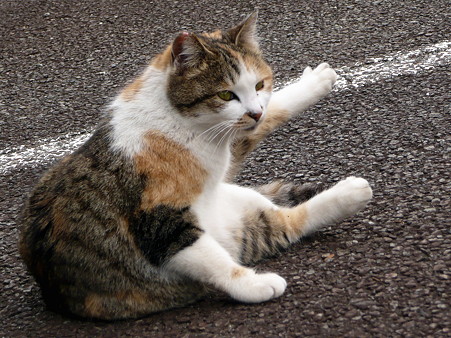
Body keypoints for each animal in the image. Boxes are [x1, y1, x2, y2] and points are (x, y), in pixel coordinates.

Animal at [18, 13, 374, 320]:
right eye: (226, 94)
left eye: (259, 85)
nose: (254, 112)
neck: (180, 121)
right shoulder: (159, 221)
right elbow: (210, 259)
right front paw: (253, 285)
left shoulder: (229, 142)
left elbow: (273, 112)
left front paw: (315, 81)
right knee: (288, 223)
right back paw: (352, 192)